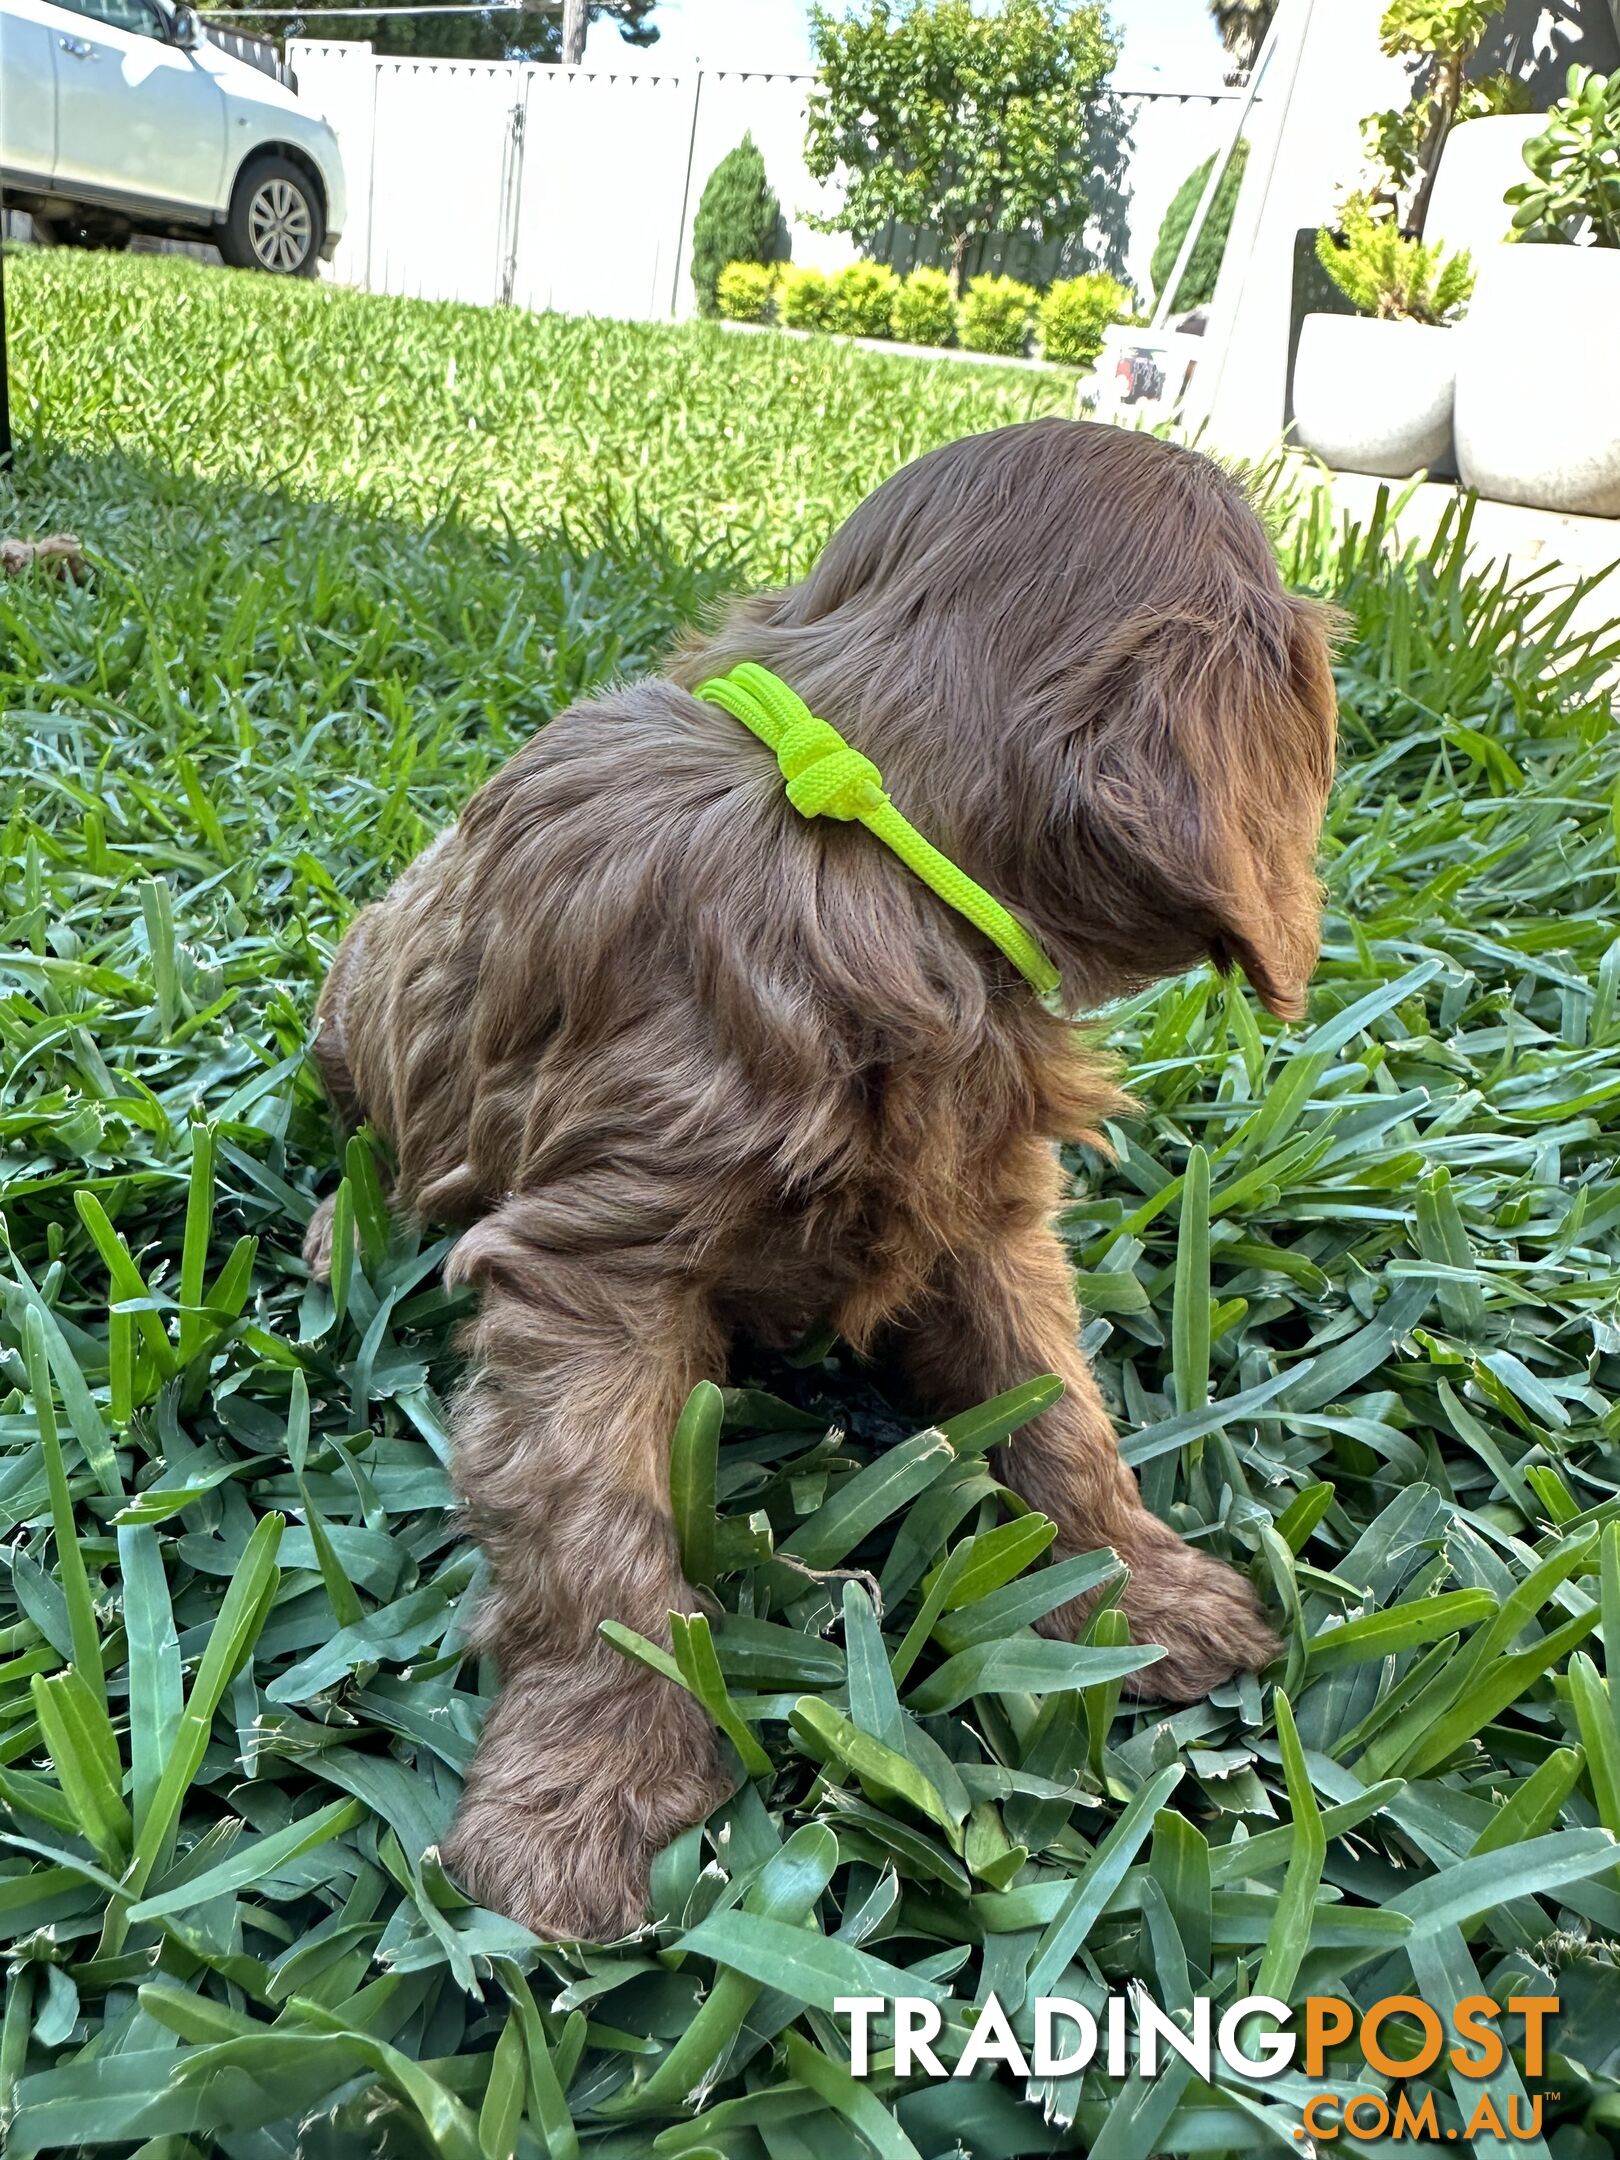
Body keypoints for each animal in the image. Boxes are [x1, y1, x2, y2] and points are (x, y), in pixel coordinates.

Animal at [304, 416, 1347, 1944]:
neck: (860, 820)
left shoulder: (984, 1205)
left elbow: (1057, 1401)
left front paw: (1138, 1587)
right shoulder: (597, 1256)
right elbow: (591, 1521)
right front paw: (584, 1790)